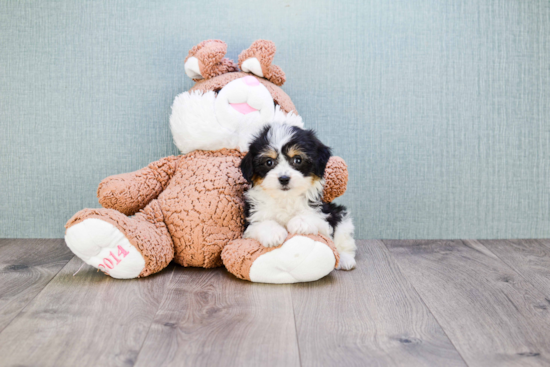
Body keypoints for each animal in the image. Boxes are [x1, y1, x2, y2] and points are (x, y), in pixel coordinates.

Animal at [242, 123, 358, 270]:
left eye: (298, 160)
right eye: (269, 162)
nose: (284, 178)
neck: (285, 198)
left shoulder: (322, 216)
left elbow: (312, 217)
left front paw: (299, 223)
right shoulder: (252, 219)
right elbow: (262, 223)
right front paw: (274, 234)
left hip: (341, 217)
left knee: (344, 239)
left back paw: (345, 259)